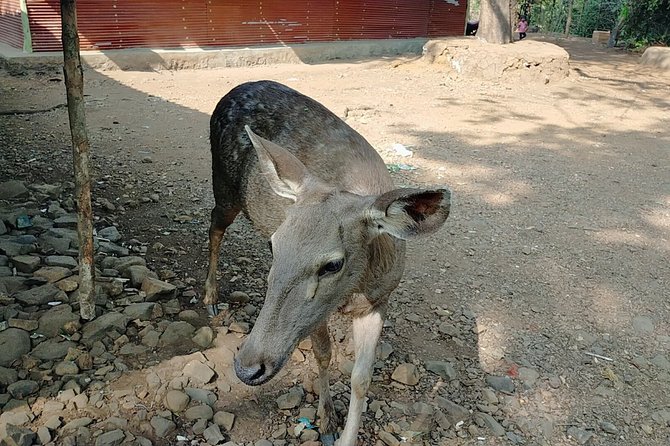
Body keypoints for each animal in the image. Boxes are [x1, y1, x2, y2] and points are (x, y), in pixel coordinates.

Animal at [203, 81, 452, 446]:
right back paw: (209, 295)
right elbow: (323, 353)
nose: (247, 367)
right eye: (274, 245)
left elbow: (362, 377)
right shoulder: (319, 312)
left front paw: (346, 433)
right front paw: (326, 420)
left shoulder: (380, 299)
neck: (355, 290)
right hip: (224, 185)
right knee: (214, 225)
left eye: (332, 264)